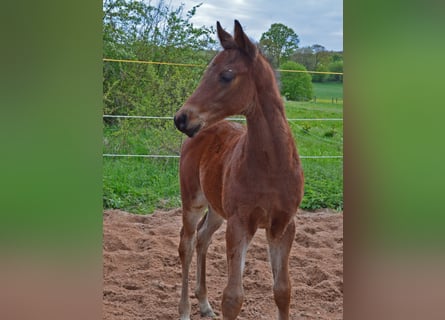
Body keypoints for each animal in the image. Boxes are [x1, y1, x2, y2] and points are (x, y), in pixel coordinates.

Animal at [172, 20, 304, 320]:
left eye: (227, 75)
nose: (182, 118)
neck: (272, 167)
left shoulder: (283, 226)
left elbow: (283, 291)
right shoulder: (240, 224)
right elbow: (233, 298)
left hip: (217, 209)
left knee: (203, 238)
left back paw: (204, 304)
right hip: (193, 201)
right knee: (186, 244)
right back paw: (185, 310)